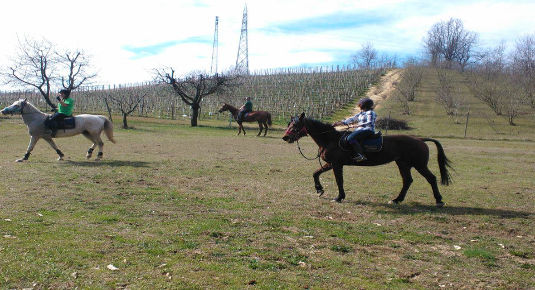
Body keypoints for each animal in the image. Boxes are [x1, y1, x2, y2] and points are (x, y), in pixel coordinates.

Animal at [282, 113, 454, 206]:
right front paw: (319, 189)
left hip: (419, 165)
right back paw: (397, 199)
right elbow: (315, 173)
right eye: (289, 124)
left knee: (431, 178)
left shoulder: (337, 164)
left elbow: (339, 181)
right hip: (403, 164)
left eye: (295, 126)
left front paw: (339, 197)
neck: (331, 139)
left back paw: (439, 200)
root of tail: (420, 140)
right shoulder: (330, 163)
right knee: (407, 181)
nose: (285, 137)